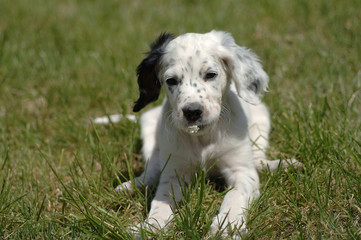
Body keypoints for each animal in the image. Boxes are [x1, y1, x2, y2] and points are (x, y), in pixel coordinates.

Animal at [115, 30, 300, 238]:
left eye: (210, 75)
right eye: (171, 81)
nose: (192, 112)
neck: (202, 137)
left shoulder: (241, 171)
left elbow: (235, 194)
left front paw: (227, 225)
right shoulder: (174, 173)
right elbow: (161, 201)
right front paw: (151, 226)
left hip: (260, 120)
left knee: (258, 160)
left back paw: (282, 165)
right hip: (150, 126)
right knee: (152, 166)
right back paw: (133, 185)